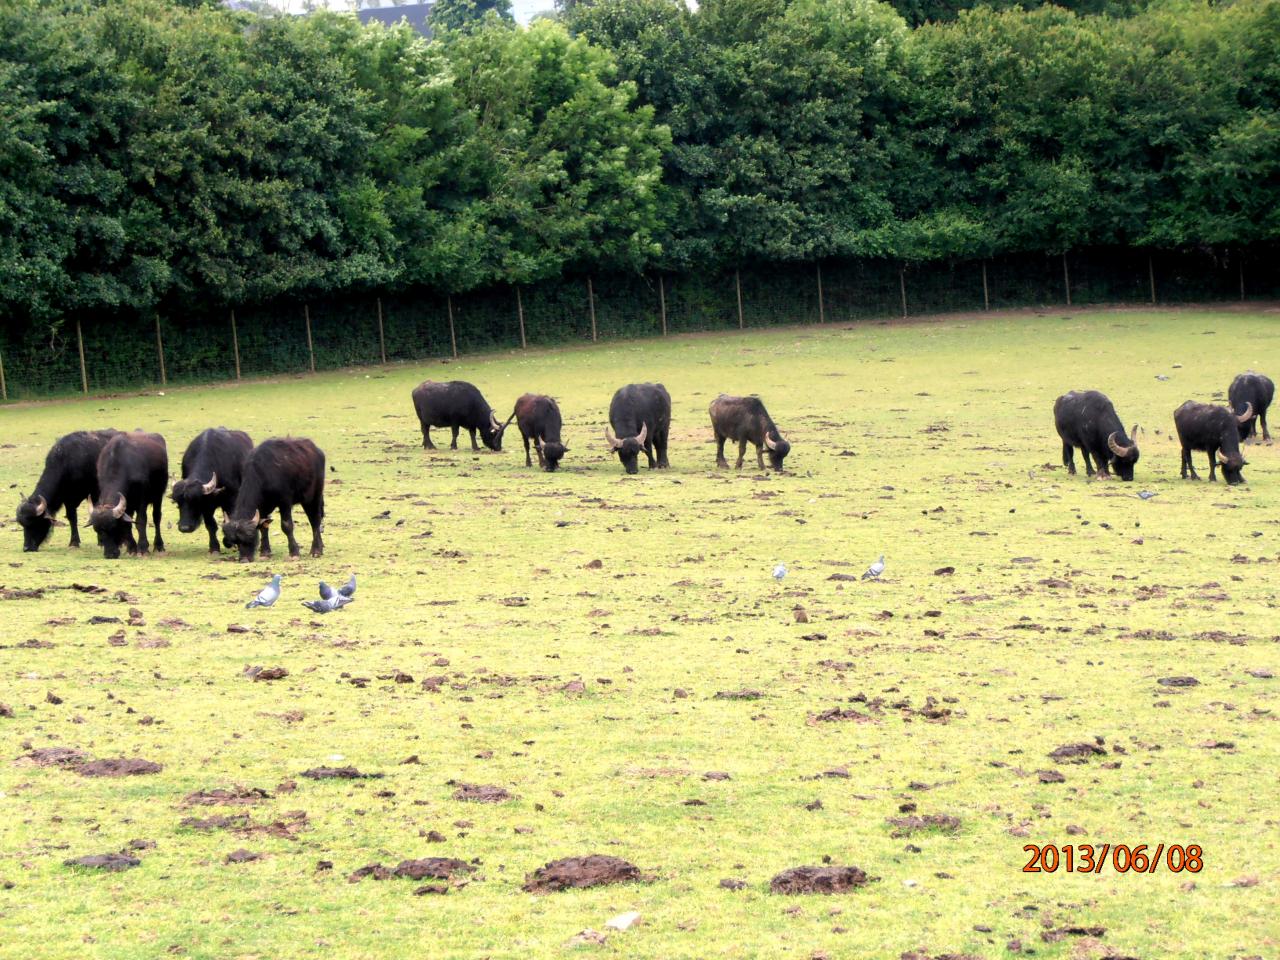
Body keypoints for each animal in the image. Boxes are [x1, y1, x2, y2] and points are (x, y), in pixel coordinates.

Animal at [88, 432, 170, 560]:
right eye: (97, 530)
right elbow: (128, 524)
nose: (110, 554)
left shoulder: (142, 499)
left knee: (157, 517)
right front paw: (131, 548)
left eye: (114, 527)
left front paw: (143, 548)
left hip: (158, 495)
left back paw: (159, 545)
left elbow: (141, 521)